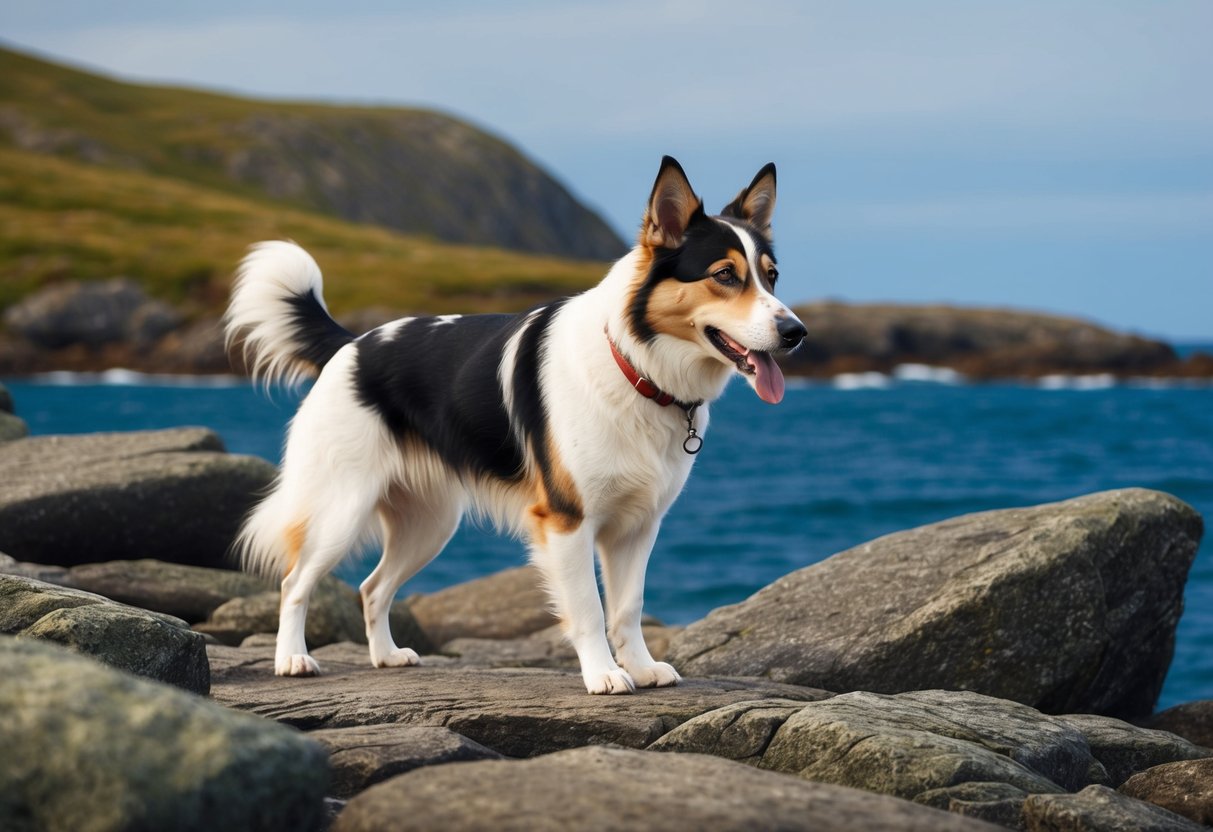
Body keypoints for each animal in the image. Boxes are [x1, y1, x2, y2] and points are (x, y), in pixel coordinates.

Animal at [223, 157, 810, 698]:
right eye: (724, 275)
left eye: (771, 276)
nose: (796, 332)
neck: (634, 364)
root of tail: (351, 344)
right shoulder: (567, 521)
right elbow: (590, 609)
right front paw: (603, 675)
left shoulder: (638, 527)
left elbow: (627, 606)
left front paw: (641, 668)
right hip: (341, 509)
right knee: (295, 582)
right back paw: (292, 659)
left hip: (429, 524)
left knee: (372, 588)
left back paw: (386, 656)